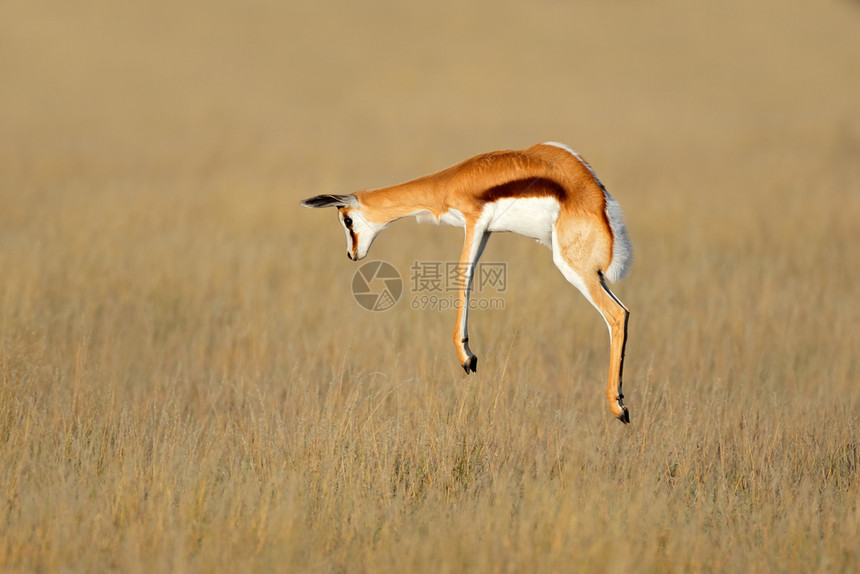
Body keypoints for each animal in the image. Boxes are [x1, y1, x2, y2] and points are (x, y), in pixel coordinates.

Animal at [300, 144, 632, 424]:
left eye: (347, 221)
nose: (352, 254)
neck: (450, 183)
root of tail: (600, 204)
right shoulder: (485, 232)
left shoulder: (474, 223)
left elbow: (463, 275)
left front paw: (467, 357)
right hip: (593, 274)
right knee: (624, 311)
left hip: (572, 267)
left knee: (617, 314)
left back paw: (619, 408)